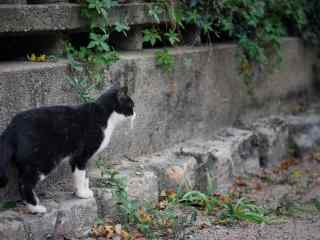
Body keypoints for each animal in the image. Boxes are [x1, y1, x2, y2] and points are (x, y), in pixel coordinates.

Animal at [0, 86, 134, 212]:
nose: (135, 114)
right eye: (131, 105)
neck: (104, 115)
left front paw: (84, 190)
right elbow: (81, 175)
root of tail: (12, 127)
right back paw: (36, 208)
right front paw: (83, 194)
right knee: (25, 183)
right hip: (43, 160)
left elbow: (85, 176)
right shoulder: (81, 155)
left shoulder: (76, 158)